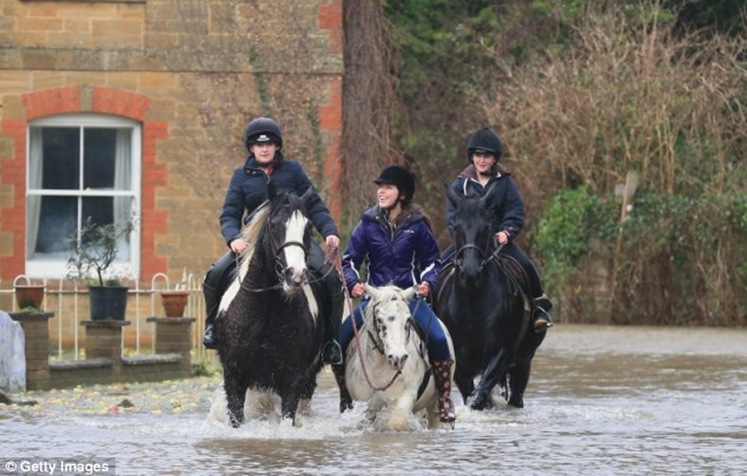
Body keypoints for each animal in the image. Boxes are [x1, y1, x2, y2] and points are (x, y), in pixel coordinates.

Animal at [218, 184, 332, 426]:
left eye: (308, 227)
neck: (266, 311)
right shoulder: (233, 376)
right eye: (273, 225)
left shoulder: (294, 378)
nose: (295, 275)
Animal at [344, 284, 456, 434]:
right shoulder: (365, 404)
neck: (378, 369)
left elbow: (396, 422)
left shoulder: (404, 397)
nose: (399, 358)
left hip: (434, 403)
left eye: (408, 319)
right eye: (379, 319)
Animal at [432, 189, 548, 410]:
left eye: (486, 227)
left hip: (523, 363)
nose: (470, 273)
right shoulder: (458, 361)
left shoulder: (501, 352)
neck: (472, 303)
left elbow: (480, 394)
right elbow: (472, 395)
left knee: (516, 396)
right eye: (455, 227)